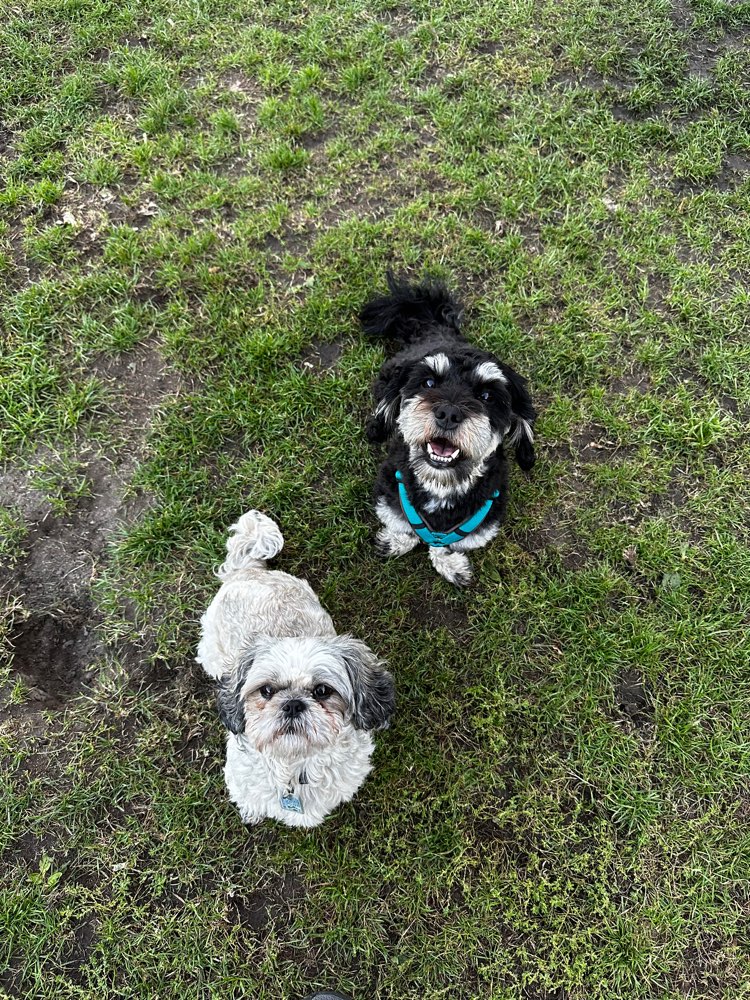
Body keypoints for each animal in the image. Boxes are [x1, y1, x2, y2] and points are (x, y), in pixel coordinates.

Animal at [197, 508, 396, 828]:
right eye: (266, 690)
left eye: (322, 691)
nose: (292, 704)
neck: (294, 766)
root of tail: (248, 570)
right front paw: (251, 813)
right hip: (211, 651)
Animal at [362, 274, 536, 584]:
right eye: (429, 382)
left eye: (487, 396)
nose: (448, 413)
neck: (441, 487)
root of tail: (435, 327)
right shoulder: (390, 496)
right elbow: (407, 527)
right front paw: (395, 542)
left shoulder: (483, 522)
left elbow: (444, 544)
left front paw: (451, 565)